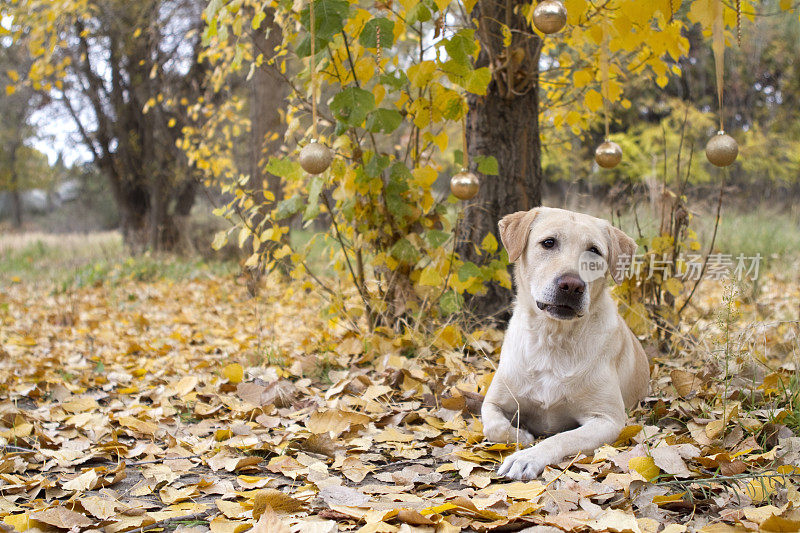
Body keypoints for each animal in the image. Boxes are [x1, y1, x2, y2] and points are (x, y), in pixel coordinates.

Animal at [482, 207, 648, 478]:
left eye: (594, 250)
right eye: (549, 243)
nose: (572, 285)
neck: (552, 338)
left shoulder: (608, 419)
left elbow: (561, 438)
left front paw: (526, 457)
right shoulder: (493, 401)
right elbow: (494, 427)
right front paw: (522, 436)